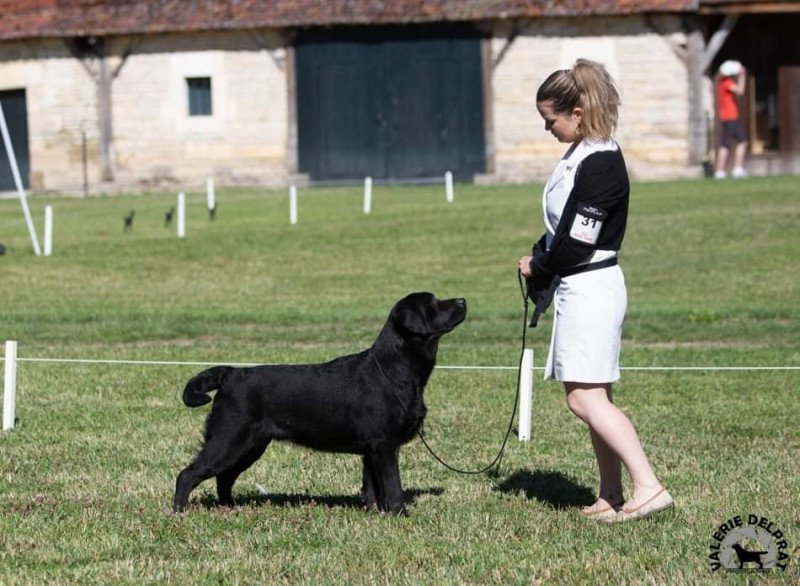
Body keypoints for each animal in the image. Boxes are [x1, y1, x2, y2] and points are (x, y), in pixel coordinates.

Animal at [172, 290, 466, 512]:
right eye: (433, 302)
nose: (463, 300)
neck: (394, 368)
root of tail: (231, 373)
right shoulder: (384, 445)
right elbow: (393, 486)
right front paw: (399, 513)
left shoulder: (371, 448)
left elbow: (372, 486)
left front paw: (375, 512)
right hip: (228, 439)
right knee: (188, 474)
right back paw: (179, 512)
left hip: (250, 446)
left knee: (224, 477)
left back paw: (230, 507)